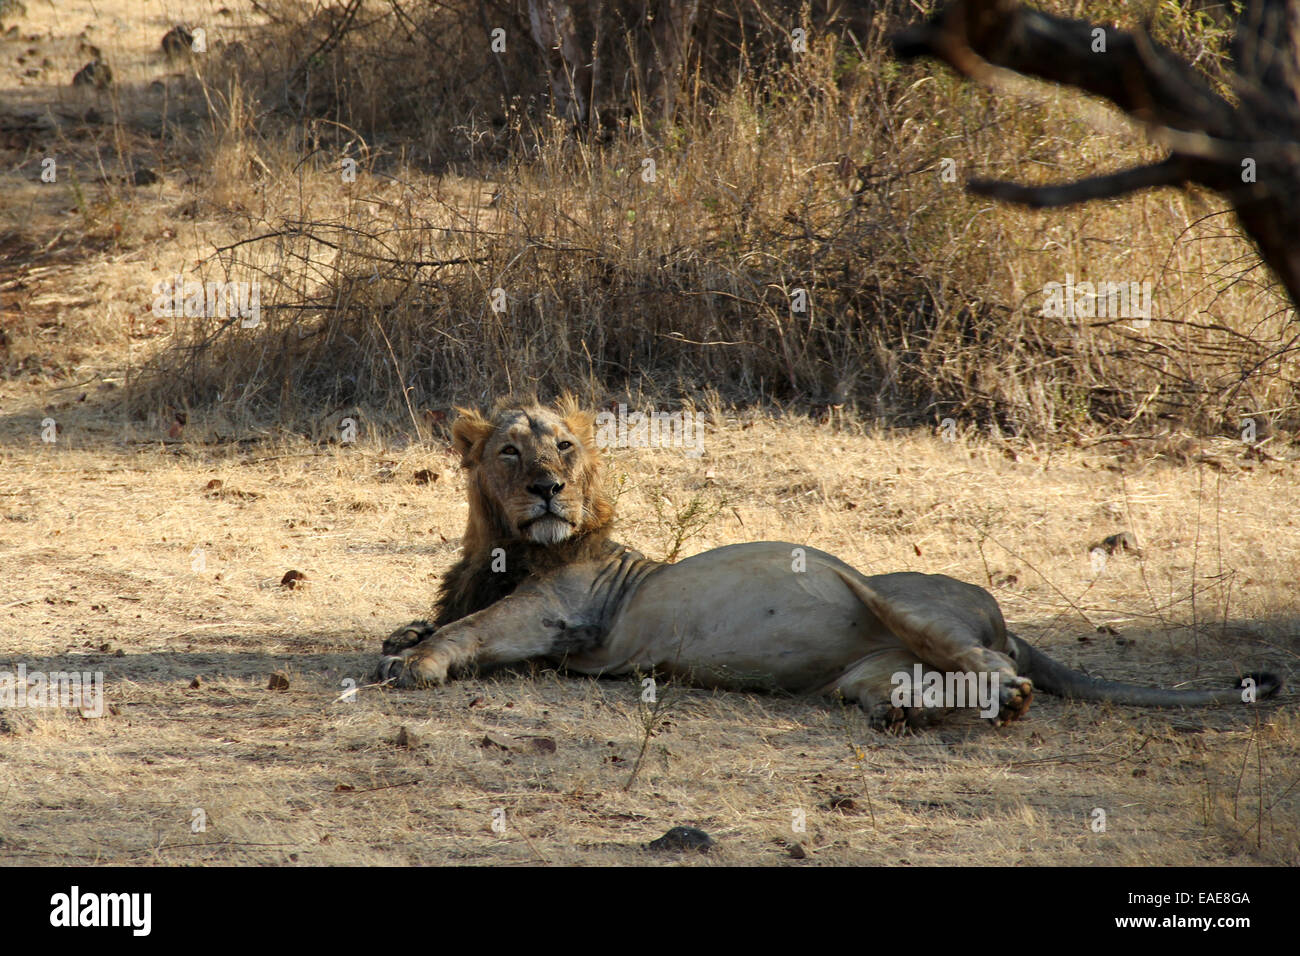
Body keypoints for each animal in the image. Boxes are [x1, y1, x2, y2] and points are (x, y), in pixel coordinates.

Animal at [374, 392, 1279, 728]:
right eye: (510, 451)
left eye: (563, 446)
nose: (550, 488)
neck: (503, 549)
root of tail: (1004, 615)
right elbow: (433, 618)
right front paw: (403, 638)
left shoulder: (562, 612)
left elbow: (472, 628)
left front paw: (414, 663)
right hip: (867, 673)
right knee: (931, 686)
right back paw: (915, 714)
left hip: (883, 593)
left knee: (994, 667)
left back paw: (1004, 697)